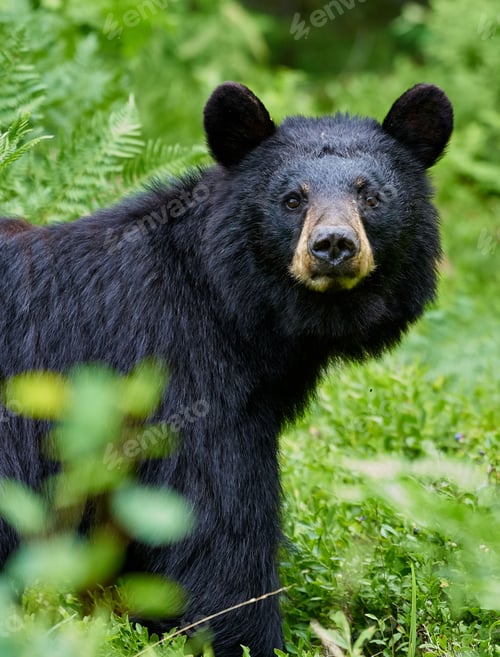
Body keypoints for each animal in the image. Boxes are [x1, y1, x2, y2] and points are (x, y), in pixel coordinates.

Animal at [0, 81, 453, 656]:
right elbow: (214, 517)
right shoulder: (179, 371)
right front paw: (247, 635)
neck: (238, 307)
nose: (333, 245)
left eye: (371, 196)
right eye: (292, 199)